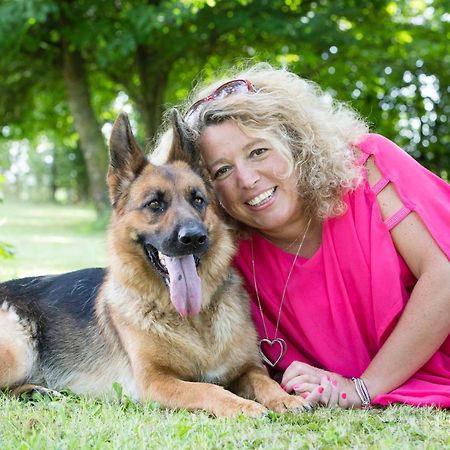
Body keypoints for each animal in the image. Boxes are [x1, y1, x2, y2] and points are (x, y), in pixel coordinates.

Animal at [0, 112, 308, 418]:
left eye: (198, 200)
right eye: (154, 204)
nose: (194, 237)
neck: (195, 322)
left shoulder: (247, 367)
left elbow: (263, 380)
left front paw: (285, 399)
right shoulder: (156, 382)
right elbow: (209, 389)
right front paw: (242, 406)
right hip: (18, 351)